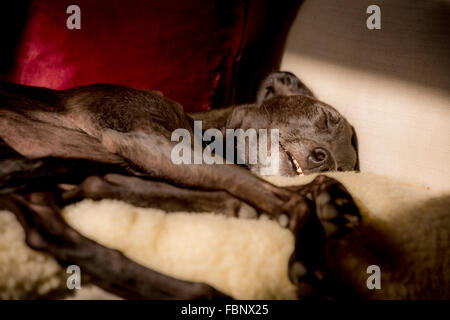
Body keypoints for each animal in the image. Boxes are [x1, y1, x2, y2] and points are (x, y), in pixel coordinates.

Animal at [0, 71, 360, 298]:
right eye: (326, 117)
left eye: (347, 168)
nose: (326, 160)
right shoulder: (141, 140)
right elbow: (281, 194)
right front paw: (312, 260)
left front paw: (333, 200)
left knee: (54, 231)